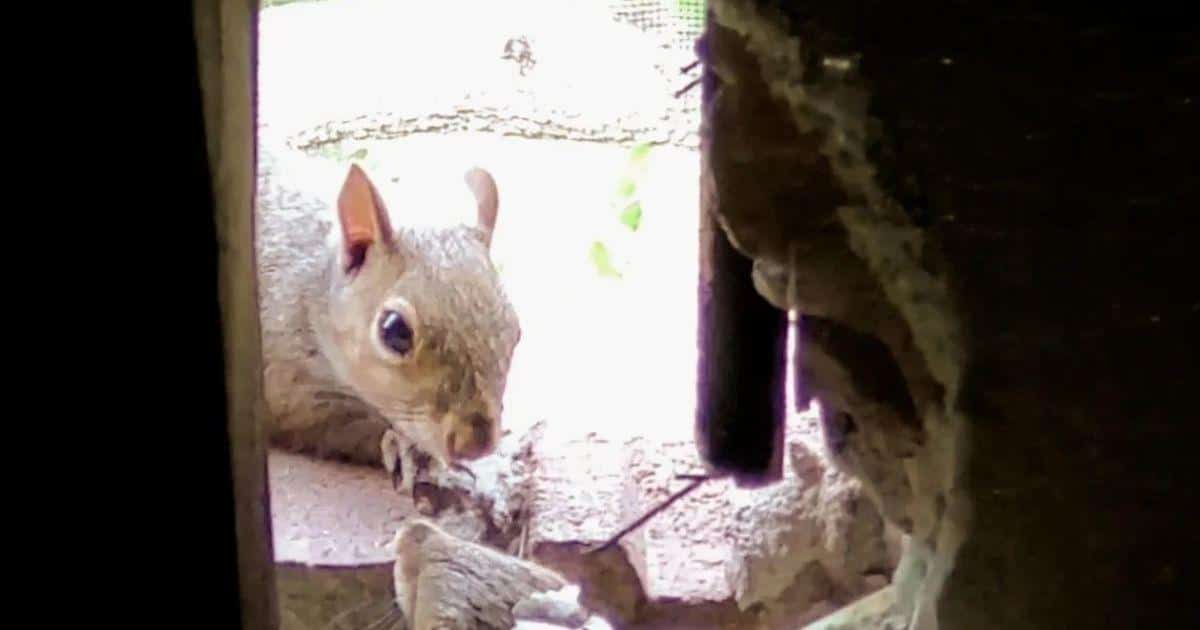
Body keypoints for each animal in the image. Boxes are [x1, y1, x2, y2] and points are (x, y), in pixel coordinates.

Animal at [255, 137, 521, 493]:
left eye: (516, 332)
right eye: (394, 331)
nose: (476, 444)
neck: (314, 290)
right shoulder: (284, 381)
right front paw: (406, 448)